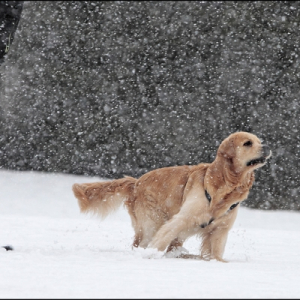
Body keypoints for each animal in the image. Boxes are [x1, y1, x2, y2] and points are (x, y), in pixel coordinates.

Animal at [72, 131, 272, 260]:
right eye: (248, 143)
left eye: (259, 140)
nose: (268, 146)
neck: (224, 184)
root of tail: (136, 182)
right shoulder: (183, 218)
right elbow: (163, 237)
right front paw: (152, 254)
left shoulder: (220, 230)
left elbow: (215, 253)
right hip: (152, 222)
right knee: (143, 242)